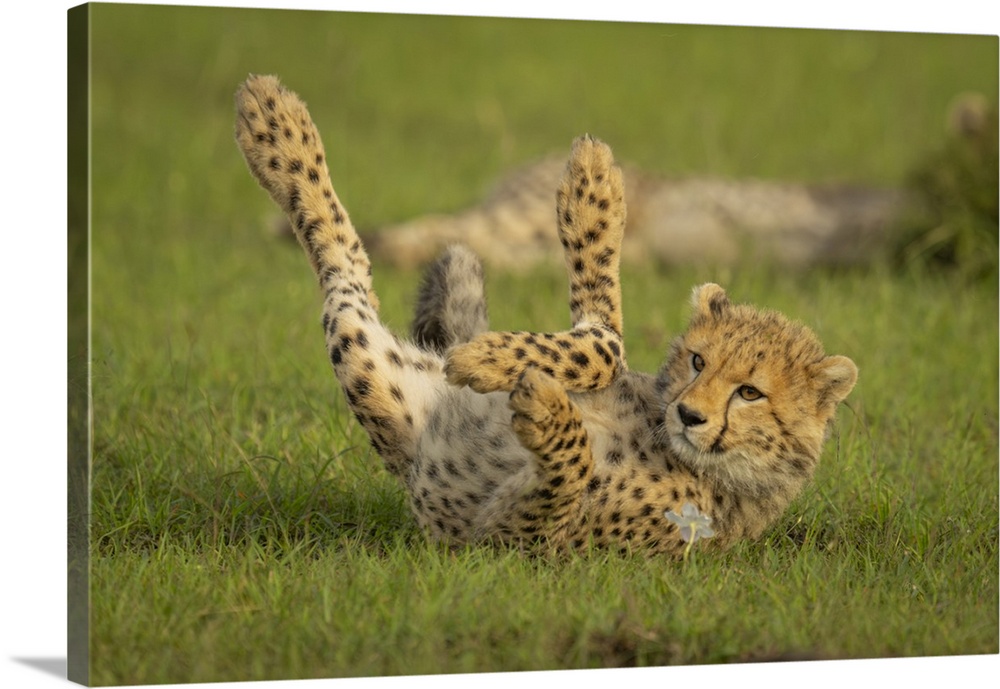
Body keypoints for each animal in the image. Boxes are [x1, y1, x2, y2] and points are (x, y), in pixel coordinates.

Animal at [235, 74, 859, 557]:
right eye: (698, 361)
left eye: (750, 392)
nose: (689, 414)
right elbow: (600, 335)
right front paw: (593, 186)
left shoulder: (508, 543)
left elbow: (574, 457)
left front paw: (540, 404)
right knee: (404, 258)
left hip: (371, 368)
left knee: (344, 261)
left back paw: (276, 127)